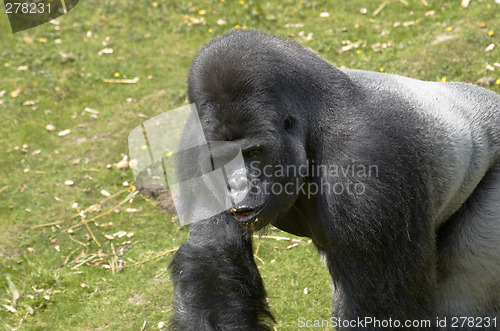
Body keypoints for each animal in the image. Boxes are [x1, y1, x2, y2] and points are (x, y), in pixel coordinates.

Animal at [169, 29, 500, 330]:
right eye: (223, 159)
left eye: (253, 152)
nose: (236, 185)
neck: (313, 118)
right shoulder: (193, 141)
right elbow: (214, 260)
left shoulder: (365, 165)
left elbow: (385, 308)